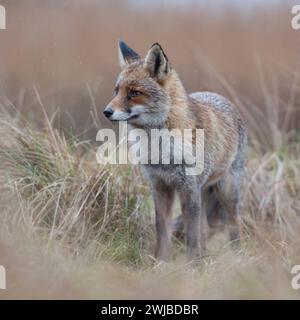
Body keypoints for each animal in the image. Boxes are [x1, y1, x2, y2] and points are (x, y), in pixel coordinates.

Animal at [103, 40, 246, 264]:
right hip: (203, 192)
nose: (106, 111)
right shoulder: (160, 186)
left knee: (234, 224)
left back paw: (237, 259)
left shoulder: (188, 188)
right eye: (116, 91)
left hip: (226, 190)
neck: (163, 152)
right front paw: (160, 264)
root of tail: (221, 97)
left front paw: (192, 267)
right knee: (205, 229)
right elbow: (162, 231)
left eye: (134, 93)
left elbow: (191, 237)